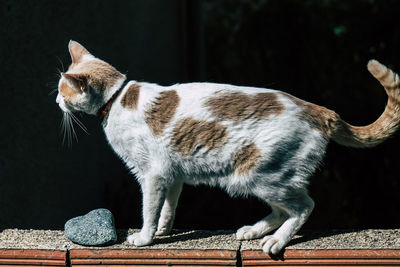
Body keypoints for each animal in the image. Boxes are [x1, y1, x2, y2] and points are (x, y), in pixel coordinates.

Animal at [55, 40, 400, 254]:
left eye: (62, 90)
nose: (57, 100)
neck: (117, 99)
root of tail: (317, 109)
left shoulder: (151, 175)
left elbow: (149, 209)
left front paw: (144, 237)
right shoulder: (172, 175)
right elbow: (168, 207)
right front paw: (164, 230)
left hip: (258, 174)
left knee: (304, 206)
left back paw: (276, 241)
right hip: (258, 179)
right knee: (282, 208)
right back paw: (254, 231)